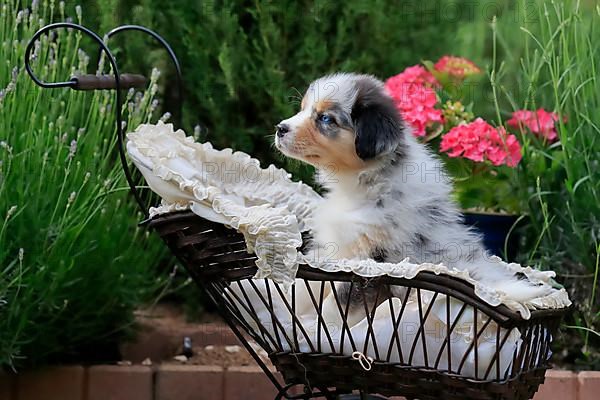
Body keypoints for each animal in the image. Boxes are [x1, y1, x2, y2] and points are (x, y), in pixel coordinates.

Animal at [274, 72, 552, 316]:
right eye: (302, 108)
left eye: (325, 118)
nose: (279, 128)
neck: (359, 183)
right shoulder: (335, 249)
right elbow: (306, 289)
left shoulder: (371, 262)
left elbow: (336, 305)